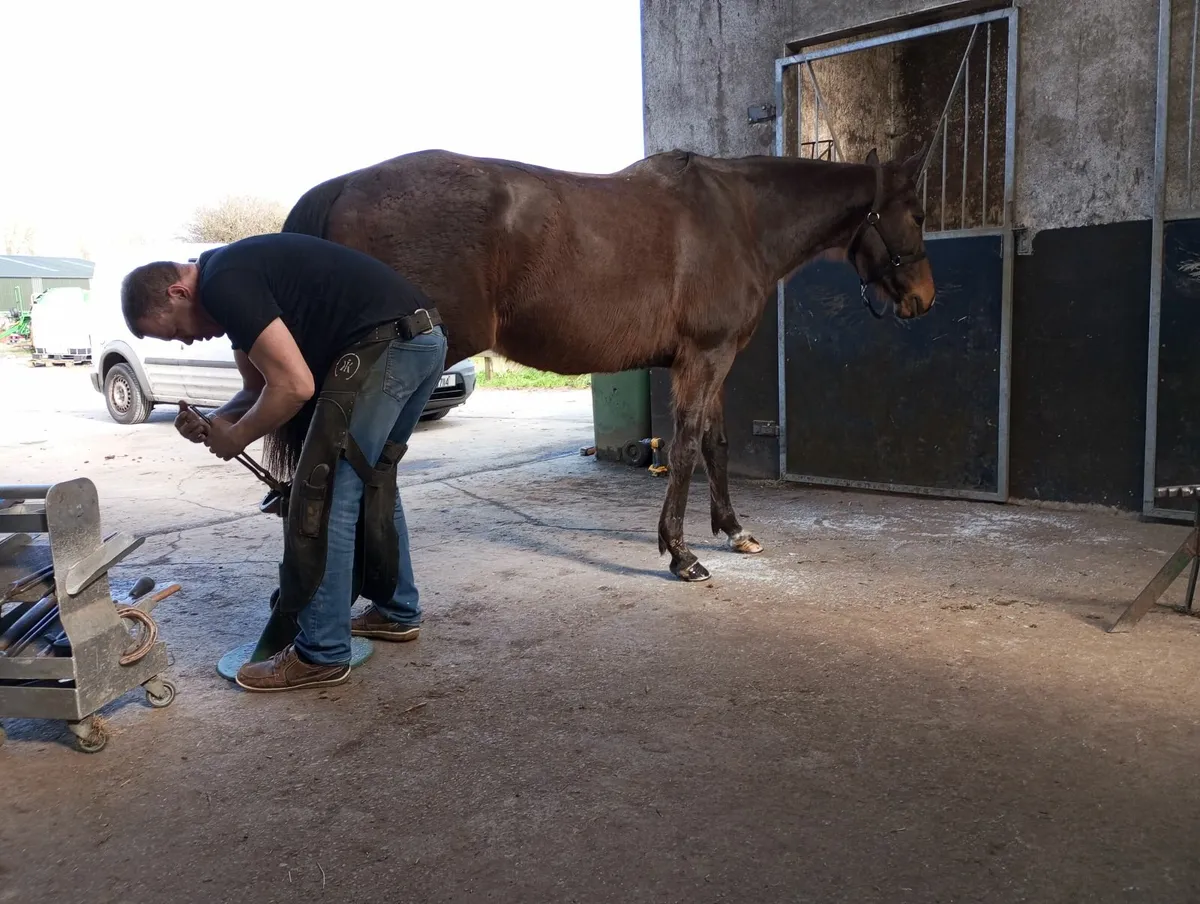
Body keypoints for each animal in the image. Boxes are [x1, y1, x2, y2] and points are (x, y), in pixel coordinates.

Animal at [272, 145, 936, 583]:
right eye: (919, 214)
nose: (924, 299)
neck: (739, 219)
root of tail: (345, 185)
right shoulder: (705, 356)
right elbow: (686, 448)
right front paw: (681, 553)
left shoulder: (711, 359)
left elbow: (715, 445)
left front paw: (734, 531)